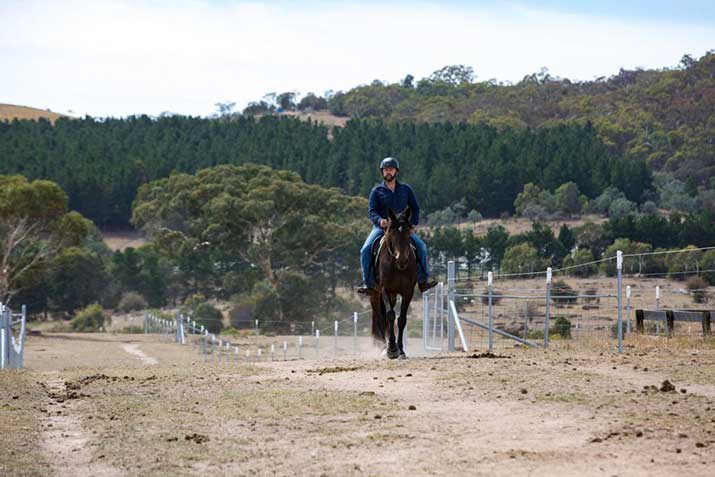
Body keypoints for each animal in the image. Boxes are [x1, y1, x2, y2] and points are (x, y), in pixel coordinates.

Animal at [370, 205, 420, 356]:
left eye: (408, 233)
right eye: (391, 233)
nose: (402, 260)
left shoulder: (407, 292)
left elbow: (402, 319)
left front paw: (401, 349)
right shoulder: (385, 290)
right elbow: (390, 315)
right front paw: (392, 348)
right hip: (375, 295)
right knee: (380, 319)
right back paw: (383, 347)